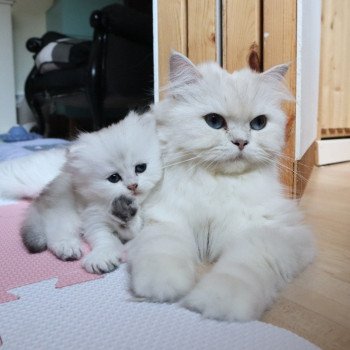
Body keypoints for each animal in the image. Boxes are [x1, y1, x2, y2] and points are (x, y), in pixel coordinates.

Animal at [19, 112, 161, 274]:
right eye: (114, 178)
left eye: (141, 168)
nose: (132, 186)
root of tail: (41, 198)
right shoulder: (94, 217)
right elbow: (104, 239)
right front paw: (102, 256)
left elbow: (132, 227)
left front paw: (124, 211)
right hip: (64, 211)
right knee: (55, 233)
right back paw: (67, 247)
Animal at [128, 52, 314, 322]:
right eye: (214, 121)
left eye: (259, 123)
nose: (241, 142)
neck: (217, 183)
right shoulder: (164, 218)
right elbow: (162, 249)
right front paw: (161, 286)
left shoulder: (274, 232)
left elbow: (241, 266)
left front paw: (219, 301)